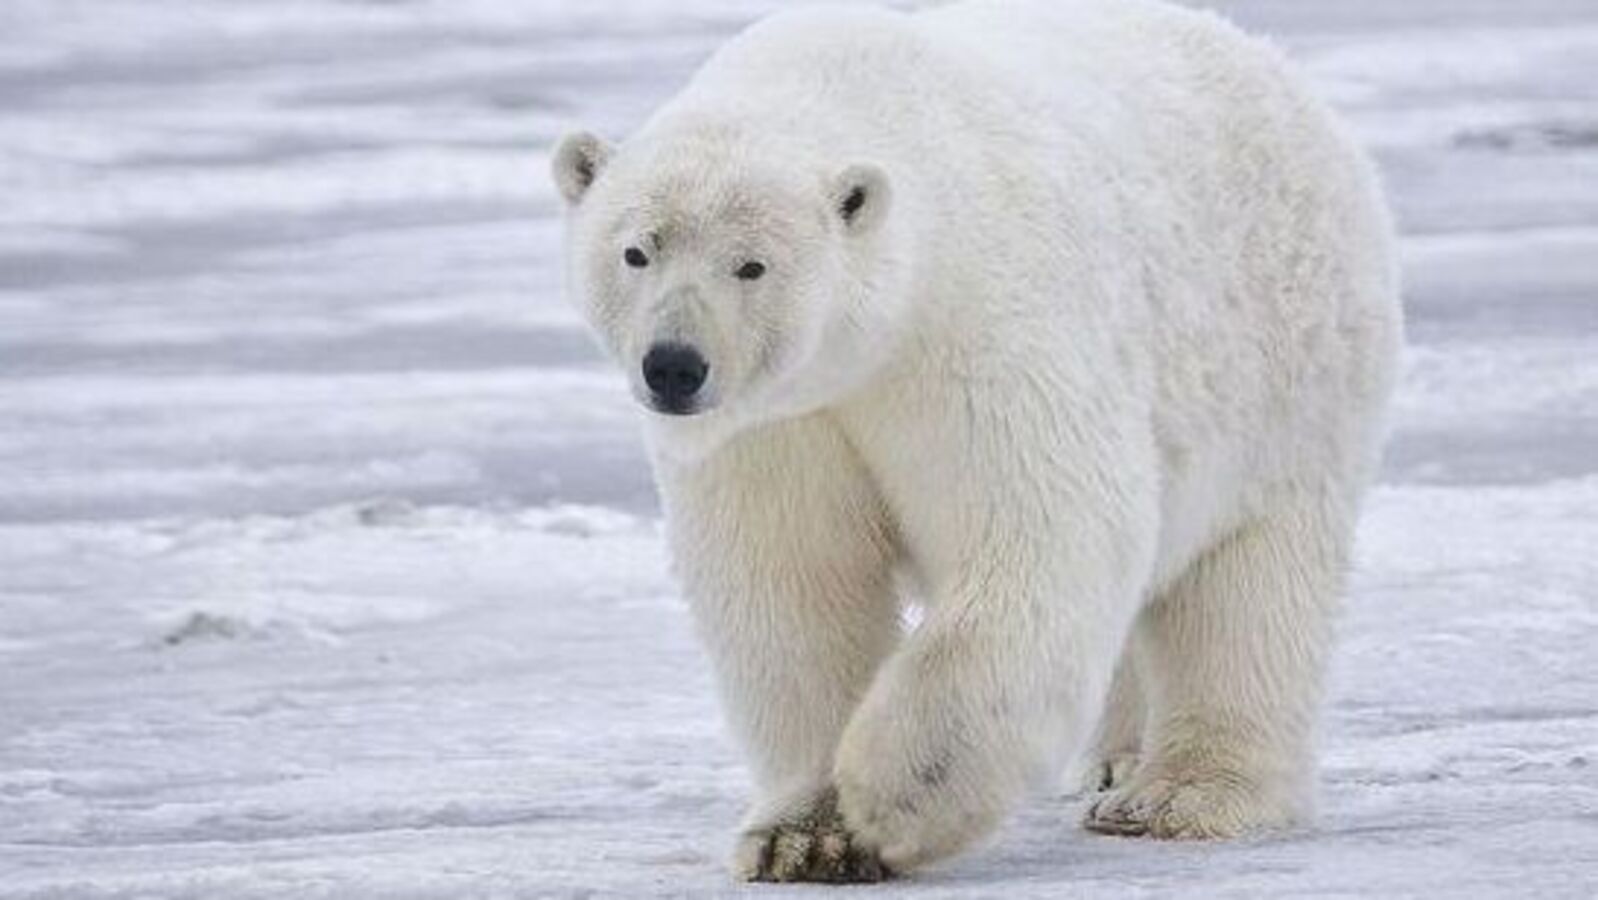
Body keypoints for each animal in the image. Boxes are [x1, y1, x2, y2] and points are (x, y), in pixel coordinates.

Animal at [551, 0, 1401, 883]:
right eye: (636, 250)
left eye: (752, 265)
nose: (674, 366)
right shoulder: (777, 424)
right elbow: (794, 584)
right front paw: (804, 837)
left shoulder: (979, 331)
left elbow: (1041, 534)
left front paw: (893, 797)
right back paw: (1116, 761)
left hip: (1286, 375)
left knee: (1247, 587)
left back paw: (1177, 796)